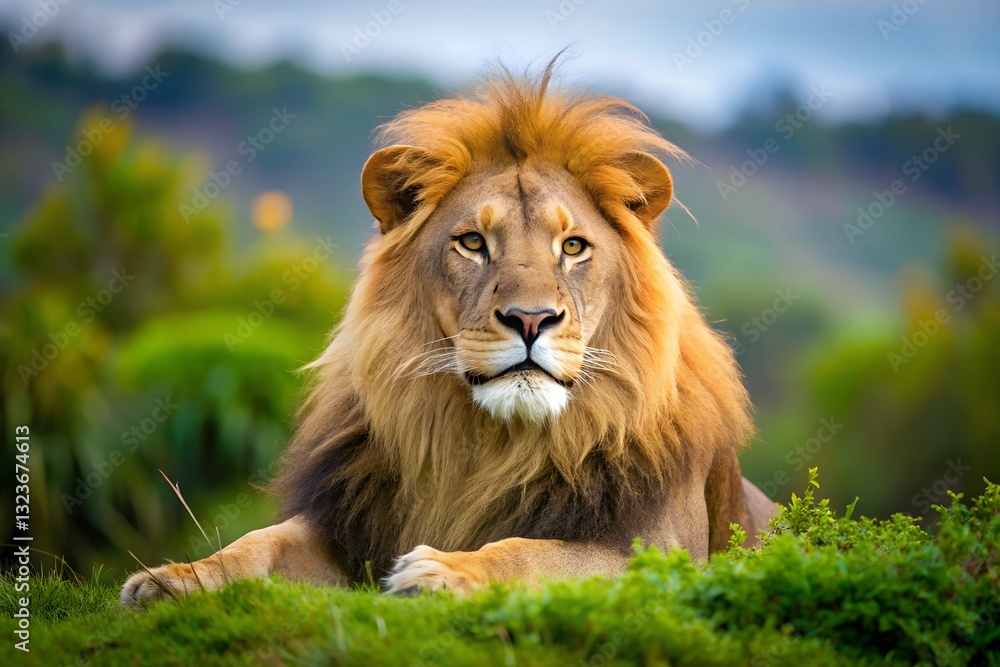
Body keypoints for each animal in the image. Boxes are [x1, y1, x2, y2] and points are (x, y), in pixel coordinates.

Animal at [120, 59, 777, 604]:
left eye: (572, 247)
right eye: (472, 243)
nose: (531, 319)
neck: (492, 444)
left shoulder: (659, 554)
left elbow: (528, 553)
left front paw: (440, 571)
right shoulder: (348, 528)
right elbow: (261, 541)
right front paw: (175, 579)